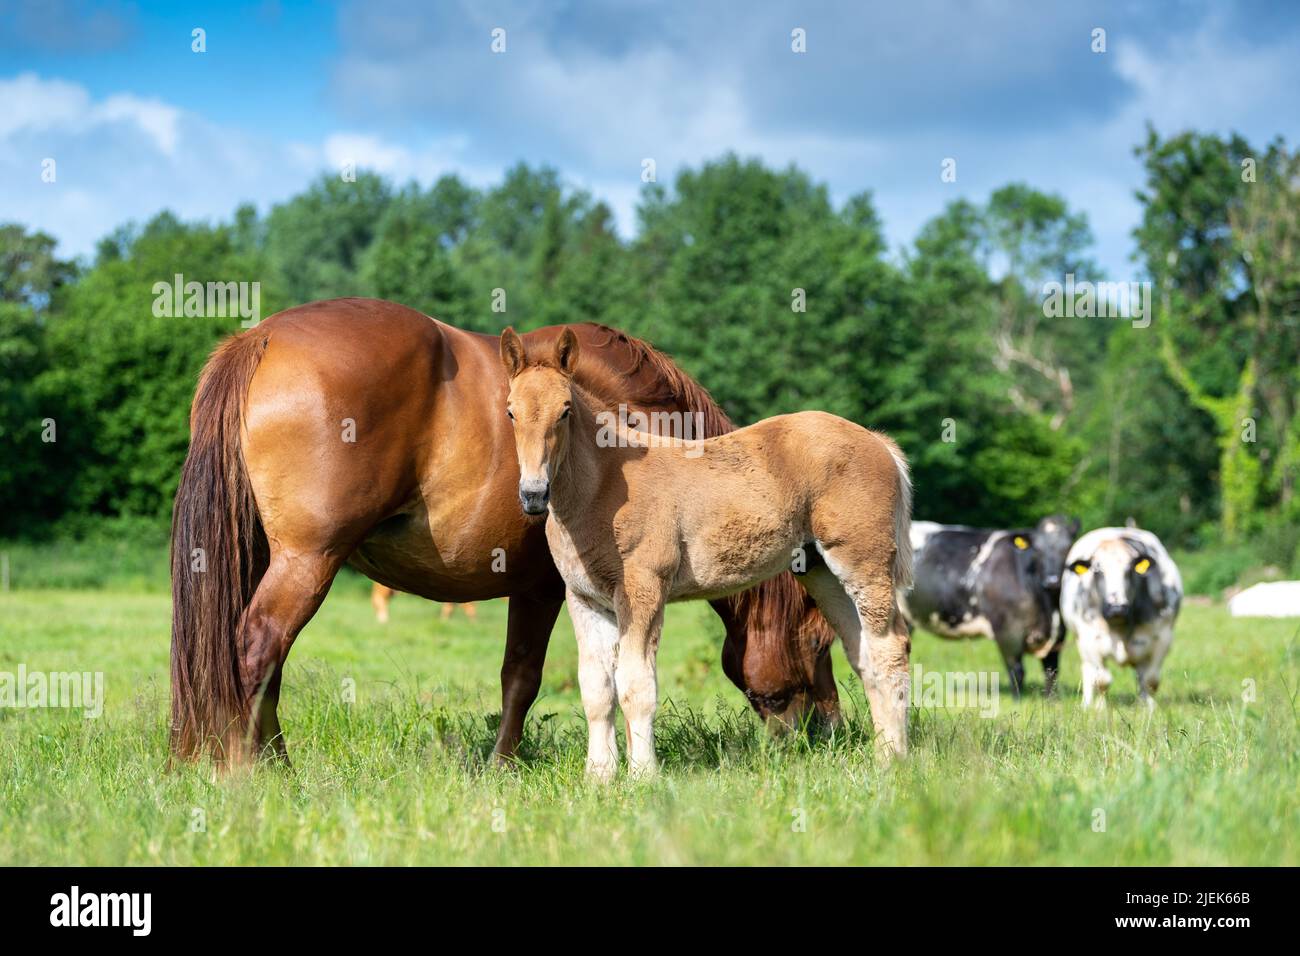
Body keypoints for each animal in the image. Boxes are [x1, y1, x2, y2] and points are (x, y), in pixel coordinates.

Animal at [167, 297, 837, 764]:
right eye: (819, 640)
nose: (830, 732)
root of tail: (260, 337)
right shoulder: (546, 588)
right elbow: (526, 679)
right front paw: (504, 765)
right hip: (308, 559)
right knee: (259, 647)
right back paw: (265, 769)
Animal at [496, 327, 915, 780]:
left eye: (566, 411)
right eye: (511, 412)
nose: (533, 495)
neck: (603, 486)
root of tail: (878, 442)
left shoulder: (643, 591)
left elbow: (636, 686)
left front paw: (643, 775)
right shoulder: (585, 599)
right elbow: (596, 689)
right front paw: (599, 778)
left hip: (863, 563)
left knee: (890, 649)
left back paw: (895, 761)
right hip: (822, 571)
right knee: (863, 653)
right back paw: (881, 757)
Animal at [904, 515, 1076, 697]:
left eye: (1068, 548)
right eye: (1037, 550)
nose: (1052, 580)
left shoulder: (1059, 636)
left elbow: (1052, 673)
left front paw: (1051, 701)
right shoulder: (1007, 632)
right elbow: (1017, 672)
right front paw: (1017, 701)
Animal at [1060, 528, 1185, 707]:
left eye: (1130, 570)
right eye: (1097, 571)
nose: (1117, 607)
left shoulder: (1162, 638)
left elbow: (1150, 680)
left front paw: (1149, 707)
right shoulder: (1089, 641)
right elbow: (1102, 680)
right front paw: (1100, 708)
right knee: (1088, 671)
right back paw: (1086, 704)